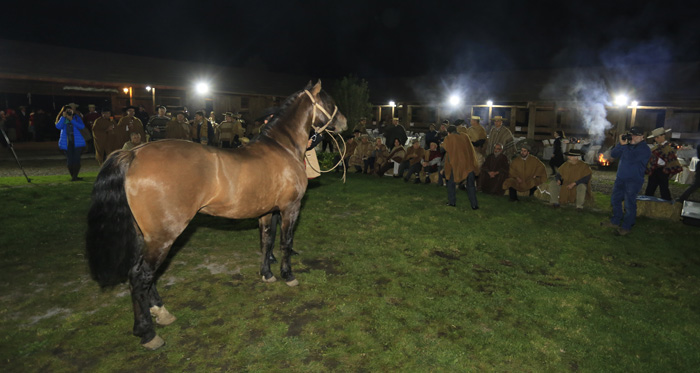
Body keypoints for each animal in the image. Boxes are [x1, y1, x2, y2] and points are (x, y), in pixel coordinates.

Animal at [86, 80, 346, 348]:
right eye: (328, 102)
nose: (344, 123)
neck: (282, 148)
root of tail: (133, 154)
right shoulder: (290, 208)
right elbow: (286, 242)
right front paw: (288, 275)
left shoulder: (267, 212)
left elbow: (266, 242)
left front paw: (267, 274)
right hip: (163, 236)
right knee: (142, 275)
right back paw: (147, 332)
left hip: (145, 235)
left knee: (142, 274)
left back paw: (161, 311)